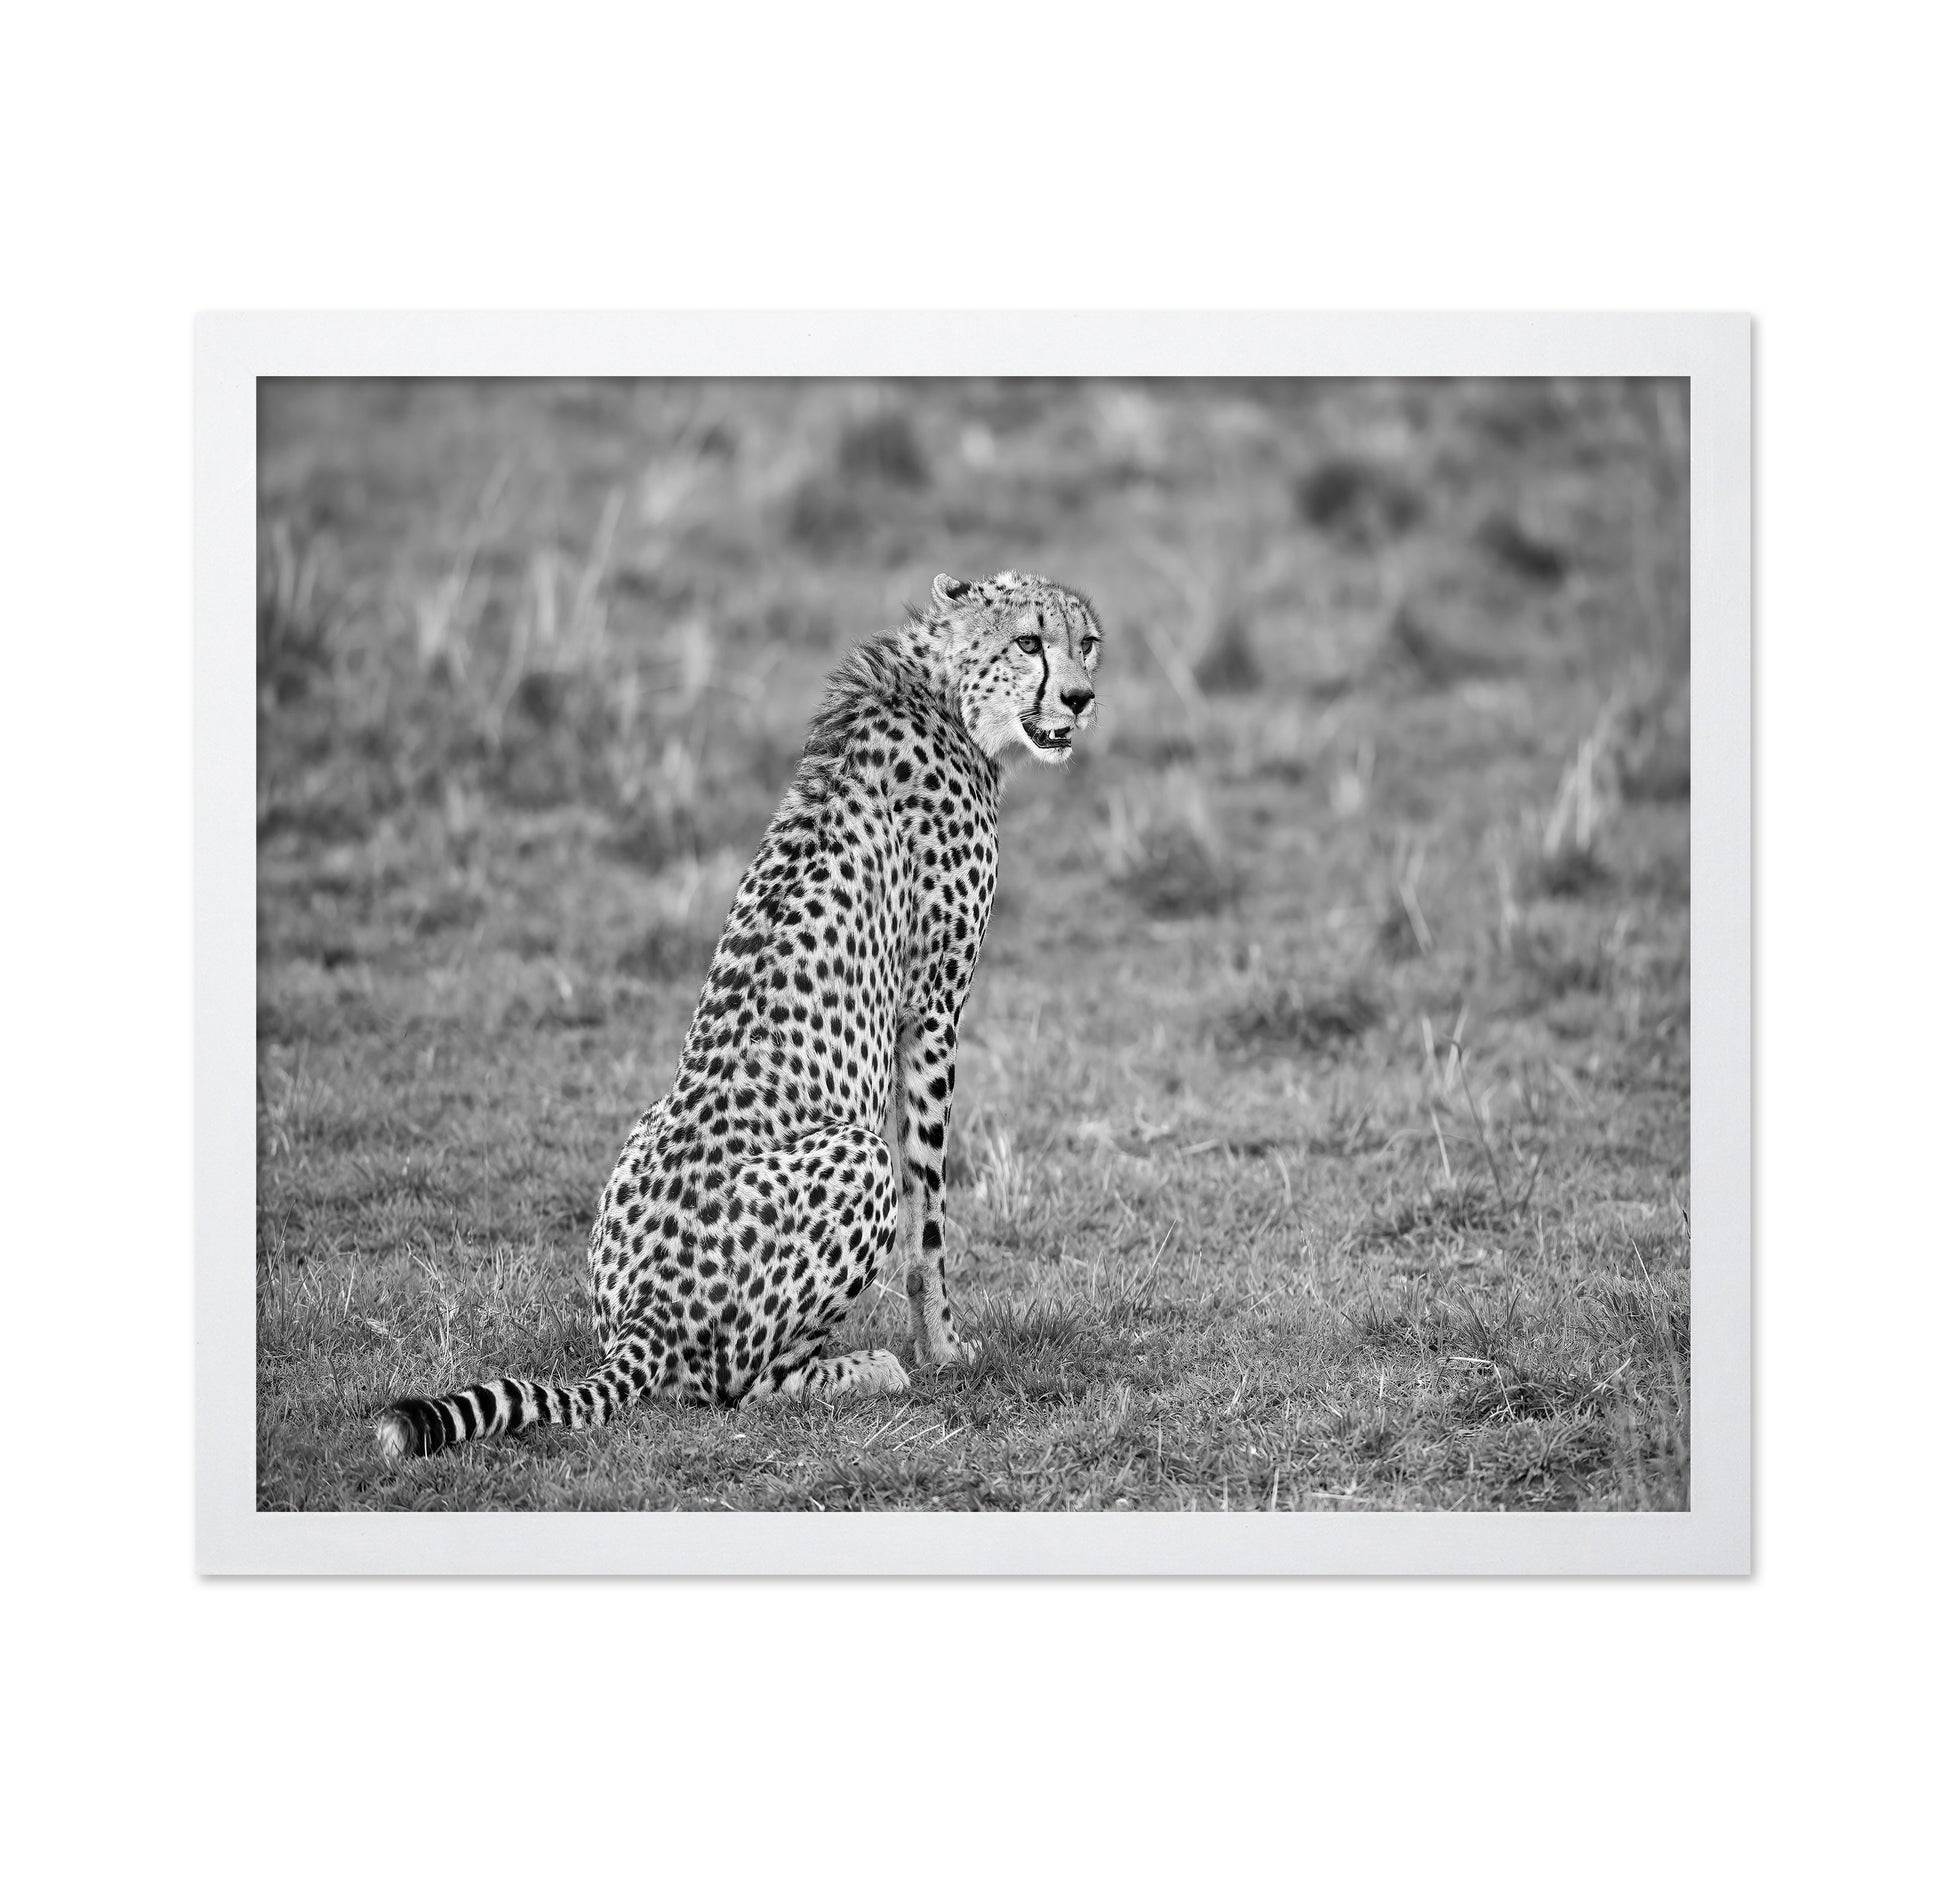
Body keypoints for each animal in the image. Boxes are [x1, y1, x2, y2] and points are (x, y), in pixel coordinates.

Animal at [374, 569, 1102, 1461]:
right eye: (1029, 641)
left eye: (1085, 642)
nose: (1080, 697)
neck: (941, 688)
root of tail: (644, 1318)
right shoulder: (931, 1011)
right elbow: (930, 1215)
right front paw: (944, 1347)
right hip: (855, 1157)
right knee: (739, 1384)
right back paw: (867, 1368)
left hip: (645, 1131)